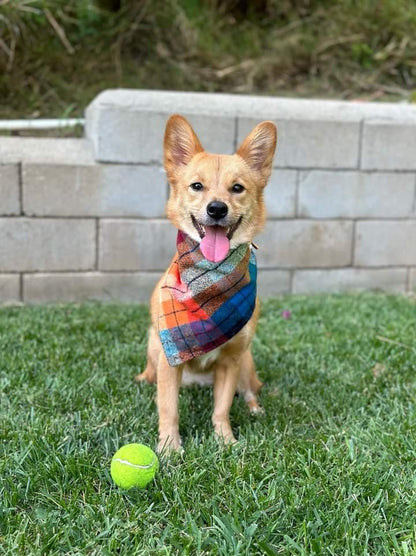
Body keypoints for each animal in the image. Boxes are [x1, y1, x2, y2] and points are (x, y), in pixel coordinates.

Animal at [136, 114, 278, 452]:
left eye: (237, 188)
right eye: (197, 186)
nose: (217, 208)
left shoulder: (232, 360)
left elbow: (221, 408)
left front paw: (225, 441)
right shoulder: (169, 359)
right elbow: (168, 408)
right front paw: (169, 447)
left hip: (247, 362)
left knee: (250, 391)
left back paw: (256, 410)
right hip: (153, 344)